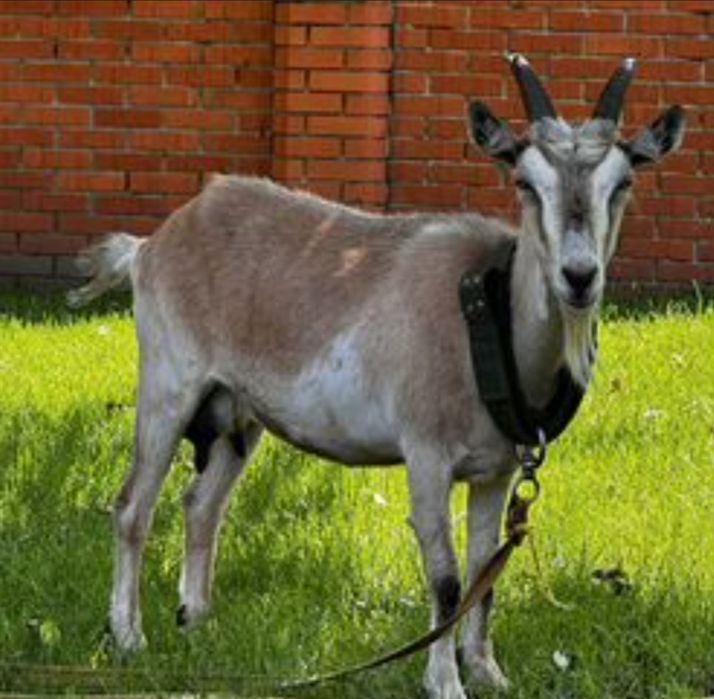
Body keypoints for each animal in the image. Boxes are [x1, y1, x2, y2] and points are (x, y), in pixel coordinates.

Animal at [69, 54, 684, 699]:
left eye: (624, 182)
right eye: (524, 182)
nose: (579, 276)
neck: (485, 317)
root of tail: (151, 245)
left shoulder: (495, 472)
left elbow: (484, 575)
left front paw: (488, 672)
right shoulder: (426, 455)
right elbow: (446, 578)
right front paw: (445, 682)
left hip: (239, 412)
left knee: (201, 505)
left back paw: (197, 621)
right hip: (169, 384)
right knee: (132, 506)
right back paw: (129, 636)